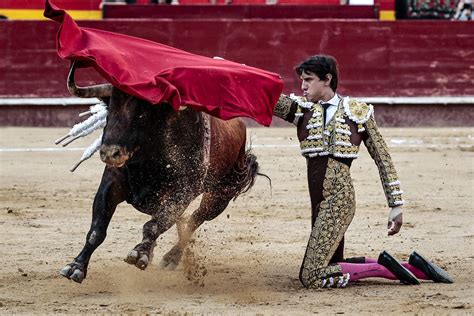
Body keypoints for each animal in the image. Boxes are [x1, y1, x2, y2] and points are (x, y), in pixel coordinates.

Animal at [59, 61, 262, 284]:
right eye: (109, 111)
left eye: (142, 114)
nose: (110, 152)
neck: (147, 159)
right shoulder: (111, 183)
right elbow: (97, 229)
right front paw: (76, 266)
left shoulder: (183, 191)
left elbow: (156, 224)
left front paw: (139, 253)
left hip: (219, 196)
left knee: (194, 220)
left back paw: (171, 257)